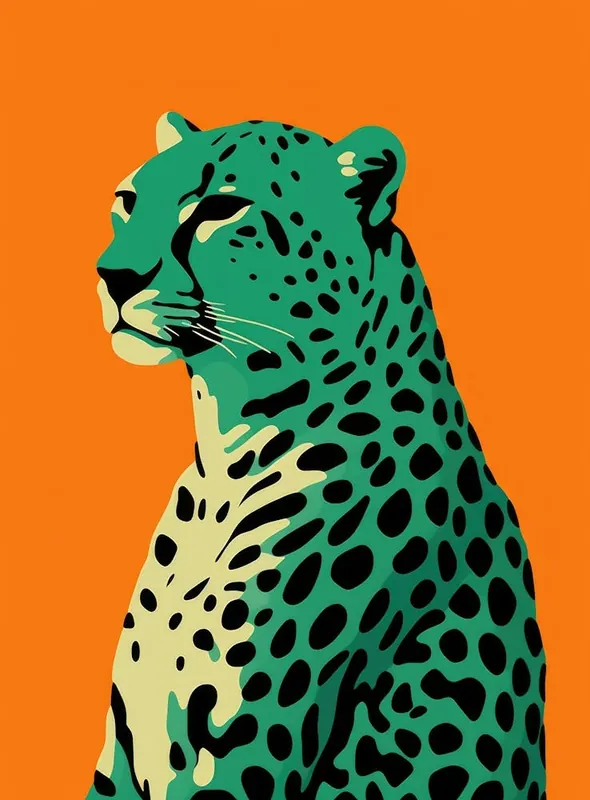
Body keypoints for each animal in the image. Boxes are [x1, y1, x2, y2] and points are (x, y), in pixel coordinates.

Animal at [88, 111, 546, 800]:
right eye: (128, 201)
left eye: (221, 208)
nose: (113, 275)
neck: (224, 454)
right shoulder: (122, 750)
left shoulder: (245, 753)